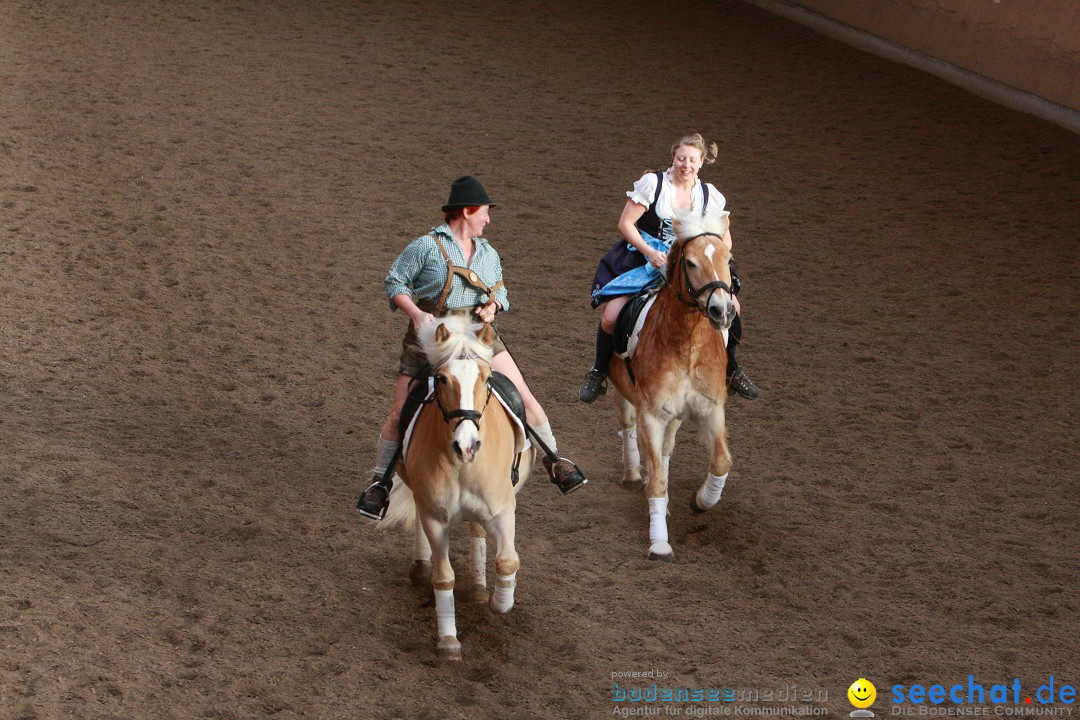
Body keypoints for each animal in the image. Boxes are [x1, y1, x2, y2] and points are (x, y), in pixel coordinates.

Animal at [378, 317, 533, 660]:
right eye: (442, 379)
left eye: (487, 378)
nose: (467, 445)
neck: (462, 464)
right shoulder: (434, 516)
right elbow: (443, 578)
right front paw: (448, 640)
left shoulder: (503, 510)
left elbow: (508, 560)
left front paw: (500, 602)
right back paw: (422, 566)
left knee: (477, 530)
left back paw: (478, 588)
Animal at [613, 212, 738, 561]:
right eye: (691, 263)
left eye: (728, 259)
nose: (722, 311)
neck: (688, 344)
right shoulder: (651, 412)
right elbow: (655, 478)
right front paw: (659, 541)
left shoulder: (709, 409)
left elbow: (721, 461)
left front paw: (702, 501)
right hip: (623, 390)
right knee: (629, 427)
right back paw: (632, 472)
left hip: (676, 415)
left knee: (666, 450)